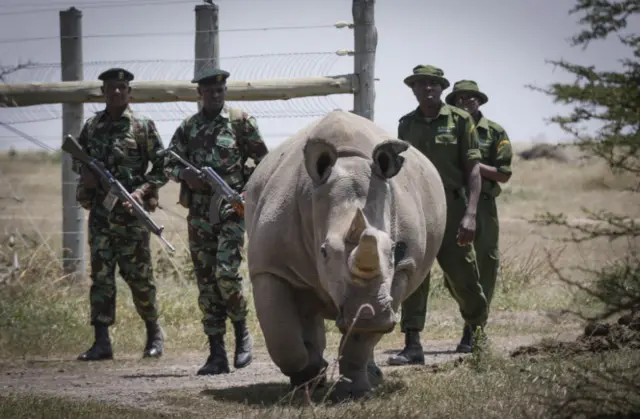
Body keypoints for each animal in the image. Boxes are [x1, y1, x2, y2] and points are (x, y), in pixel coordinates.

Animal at [243, 110, 447, 401]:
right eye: (324, 252)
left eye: (394, 249)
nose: (370, 313)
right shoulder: (270, 266)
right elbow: (283, 339)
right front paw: (311, 374)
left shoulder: (404, 267)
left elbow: (359, 339)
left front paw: (353, 393)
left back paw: (372, 376)